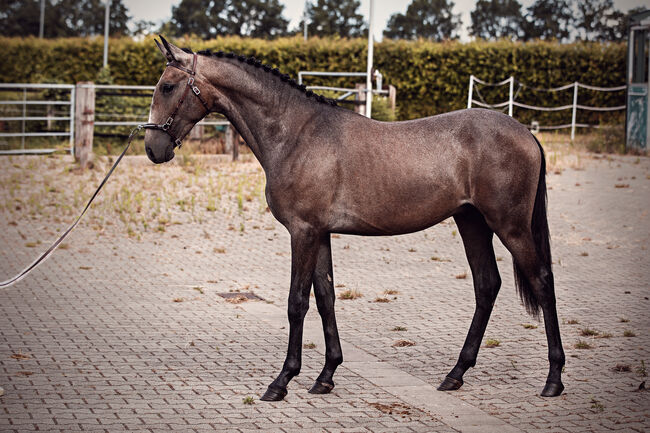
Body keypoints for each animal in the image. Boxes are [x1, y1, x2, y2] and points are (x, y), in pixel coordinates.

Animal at [142, 37, 560, 402]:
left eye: (167, 85)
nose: (152, 149)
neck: (296, 134)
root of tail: (526, 133)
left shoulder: (303, 232)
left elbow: (297, 302)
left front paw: (281, 382)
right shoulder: (320, 233)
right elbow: (326, 297)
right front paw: (325, 377)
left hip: (509, 226)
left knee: (541, 280)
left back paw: (553, 379)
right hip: (471, 222)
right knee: (487, 285)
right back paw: (455, 374)